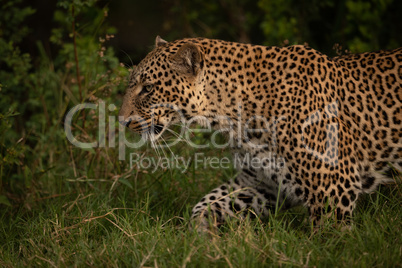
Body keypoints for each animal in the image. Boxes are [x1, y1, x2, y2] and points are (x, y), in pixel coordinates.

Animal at [119, 35, 402, 231]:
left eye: (148, 88)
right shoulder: (260, 182)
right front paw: (201, 237)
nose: (122, 121)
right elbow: (209, 203)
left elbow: (329, 238)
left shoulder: (333, 188)